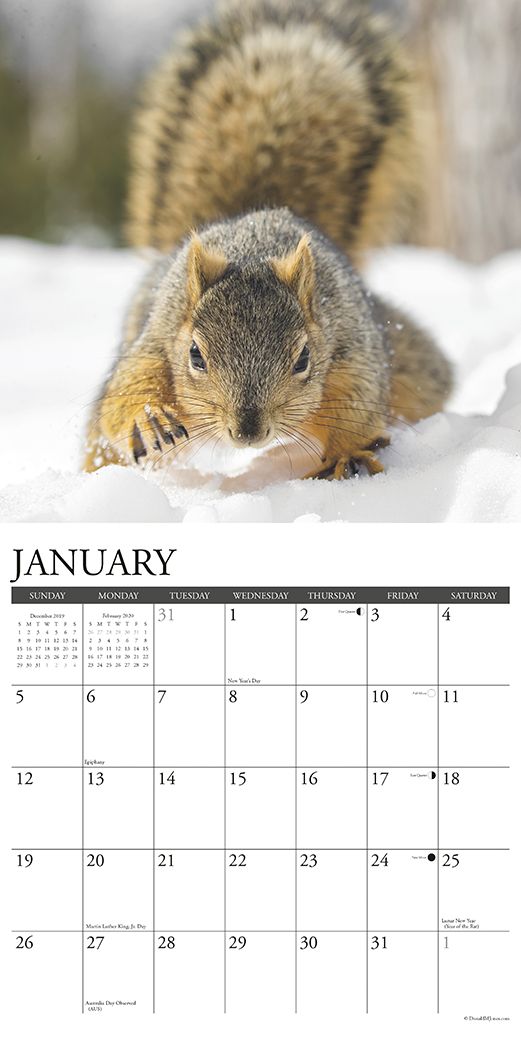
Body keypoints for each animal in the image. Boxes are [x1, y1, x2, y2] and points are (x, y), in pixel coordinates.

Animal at [84, 0, 452, 481]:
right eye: (195, 355)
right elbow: (128, 390)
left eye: (303, 359)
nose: (247, 433)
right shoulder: (159, 336)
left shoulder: (351, 348)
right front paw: (148, 419)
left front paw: (349, 454)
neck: (253, 249)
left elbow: (356, 403)